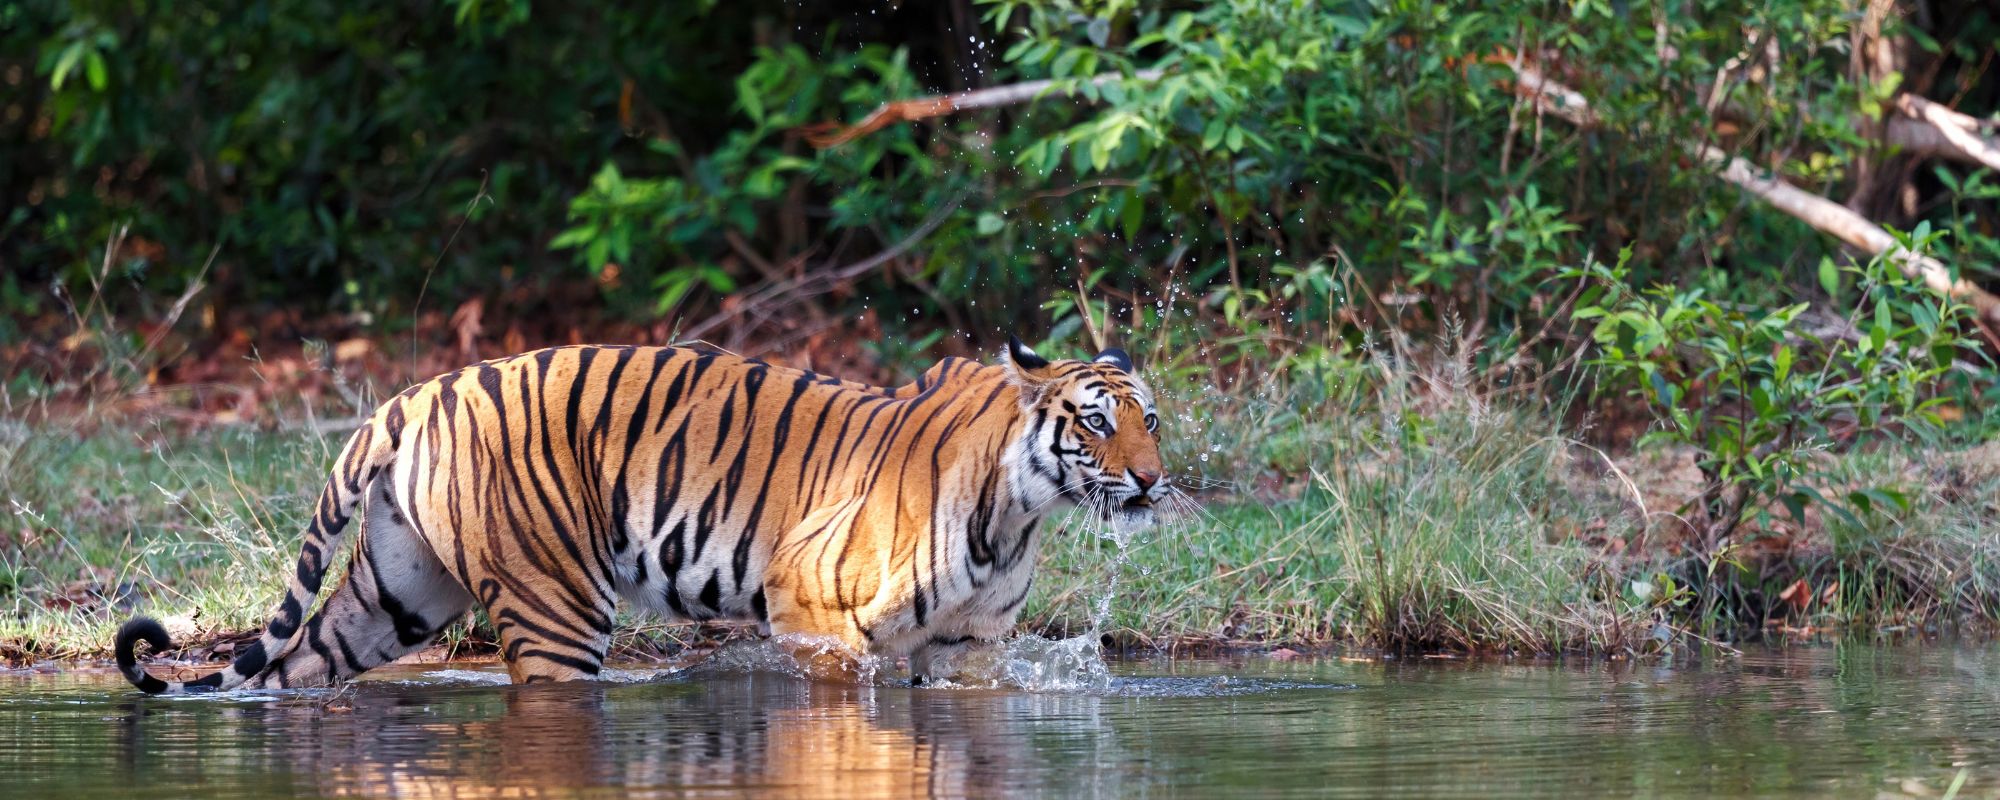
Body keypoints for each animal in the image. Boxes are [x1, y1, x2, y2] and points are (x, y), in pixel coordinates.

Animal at [116, 336, 1174, 691]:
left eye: (1151, 421)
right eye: (1096, 423)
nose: (1153, 481)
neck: (1018, 510)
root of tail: (415, 394)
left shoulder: (971, 649)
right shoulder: (811, 606)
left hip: (399, 593)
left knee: (294, 663)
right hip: (556, 604)